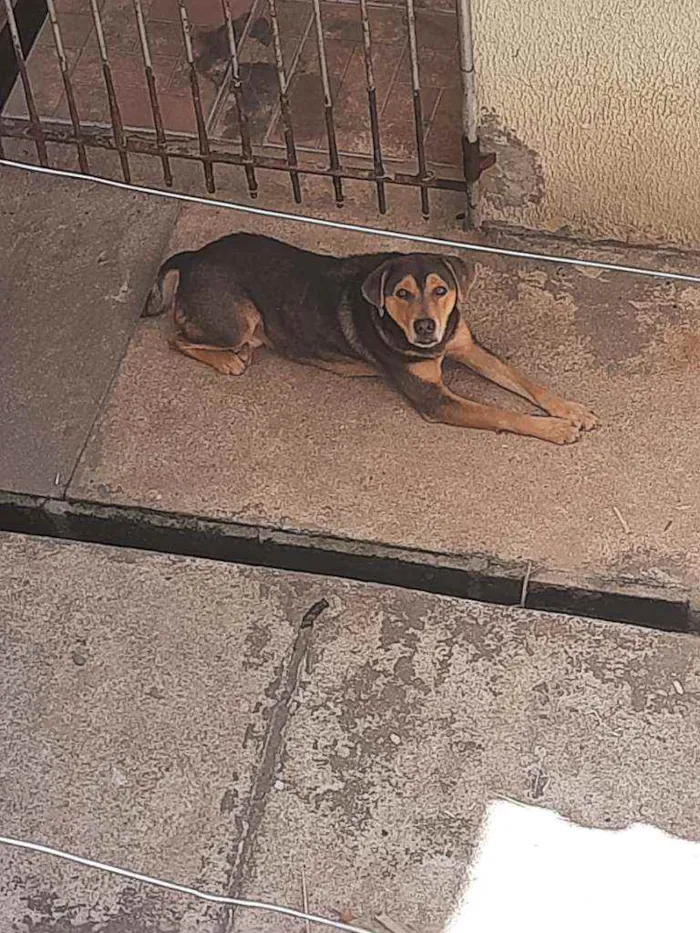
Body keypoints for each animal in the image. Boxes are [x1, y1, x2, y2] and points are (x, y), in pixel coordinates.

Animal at [142, 232, 596, 444]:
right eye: (402, 294)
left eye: (441, 290)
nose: (426, 327)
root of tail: (194, 256)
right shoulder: (435, 400)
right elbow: (501, 413)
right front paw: (555, 429)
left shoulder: (465, 344)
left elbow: (524, 380)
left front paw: (570, 409)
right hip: (237, 321)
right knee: (176, 339)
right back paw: (228, 360)